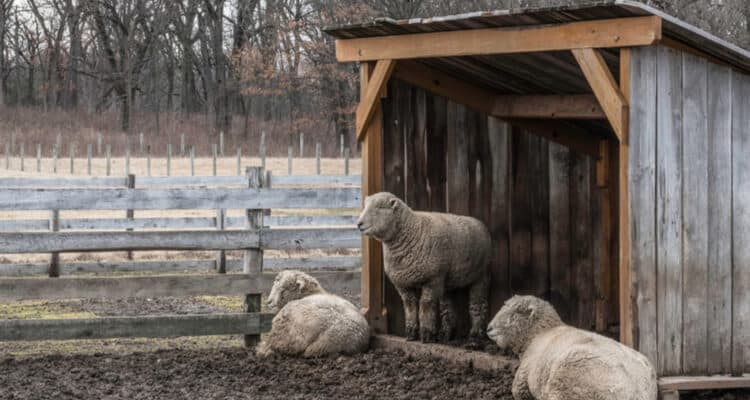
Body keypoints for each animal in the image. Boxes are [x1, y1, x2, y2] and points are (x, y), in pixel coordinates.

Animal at [358, 192, 494, 342]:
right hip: (448, 280)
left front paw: (426, 334)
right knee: (448, 307)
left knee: (478, 305)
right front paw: (411, 333)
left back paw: (475, 336)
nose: (359, 224)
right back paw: (447, 334)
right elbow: (410, 307)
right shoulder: (404, 284)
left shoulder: (431, 280)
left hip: (481, 276)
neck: (412, 229)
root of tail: (479, 222)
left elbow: (426, 306)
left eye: (380, 207)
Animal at [488, 294, 656, 400]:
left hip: (568, 380)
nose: (488, 328)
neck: (539, 333)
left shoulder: (522, 378)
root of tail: (639, 393)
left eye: (514, 314)